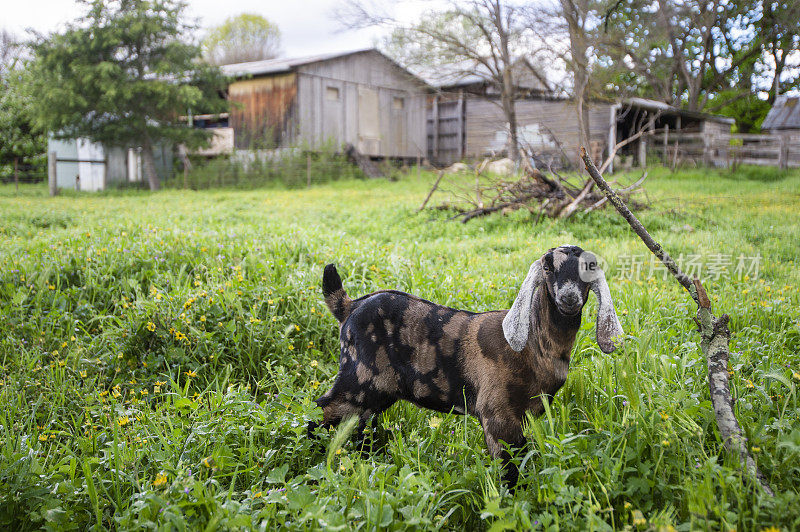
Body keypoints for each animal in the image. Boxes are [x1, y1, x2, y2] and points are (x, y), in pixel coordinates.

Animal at [312, 245, 624, 486]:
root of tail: (348, 307)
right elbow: (510, 471)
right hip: (357, 379)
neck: (535, 345)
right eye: (547, 266)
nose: (569, 298)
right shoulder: (497, 413)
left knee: (360, 428)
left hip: (376, 393)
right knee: (322, 413)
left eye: (590, 266)